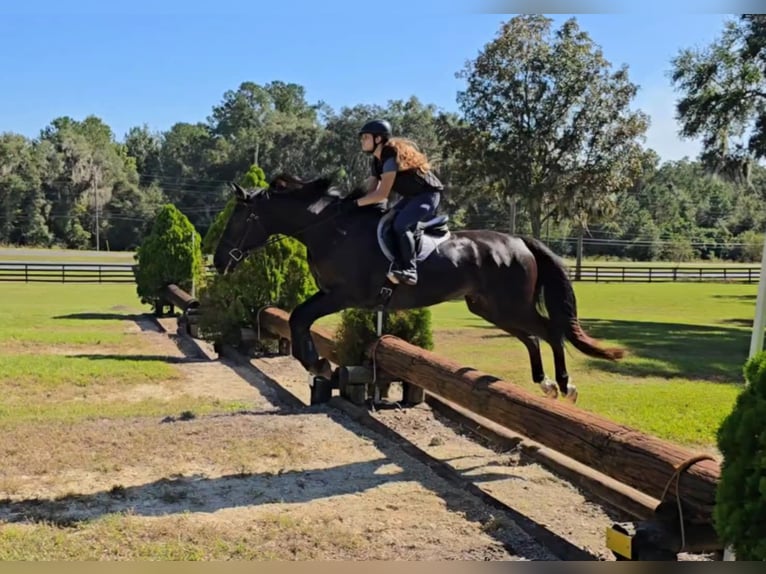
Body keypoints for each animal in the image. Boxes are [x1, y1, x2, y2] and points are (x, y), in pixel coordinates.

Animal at [212, 173, 624, 402]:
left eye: (239, 219)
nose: (217, 261)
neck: (332, 230)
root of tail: (520, 241)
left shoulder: (344, 295)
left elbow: (299, 318)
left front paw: (320, 364)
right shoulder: (334, 295)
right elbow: (297, 320)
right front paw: (319, 365)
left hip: (510, 305)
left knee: (550, 331)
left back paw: (565, 386)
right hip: (489, 307)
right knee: (533, 336)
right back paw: (544, 383)